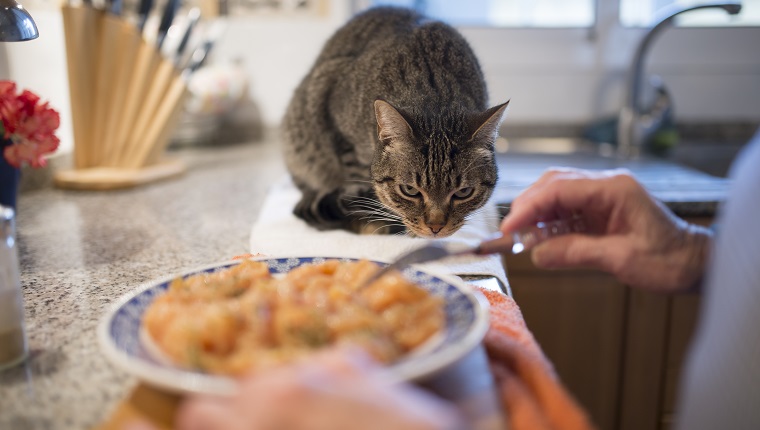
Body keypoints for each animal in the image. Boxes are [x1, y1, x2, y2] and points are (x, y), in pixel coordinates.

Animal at [282, 5, 508, 239]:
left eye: (464, 192)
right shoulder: (335, 115)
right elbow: (356, 184)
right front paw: (373, 220)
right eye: (410, 190)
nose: (435, 227)